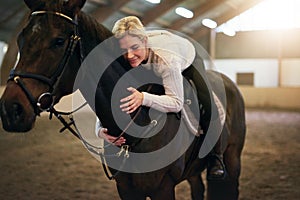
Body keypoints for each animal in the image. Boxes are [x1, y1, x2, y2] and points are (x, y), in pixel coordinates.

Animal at [0, 0, 246, 199]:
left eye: (59, 41)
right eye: (20, 39)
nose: (11, 110)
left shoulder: (163, 188)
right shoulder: (127, 189)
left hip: (233, 159)